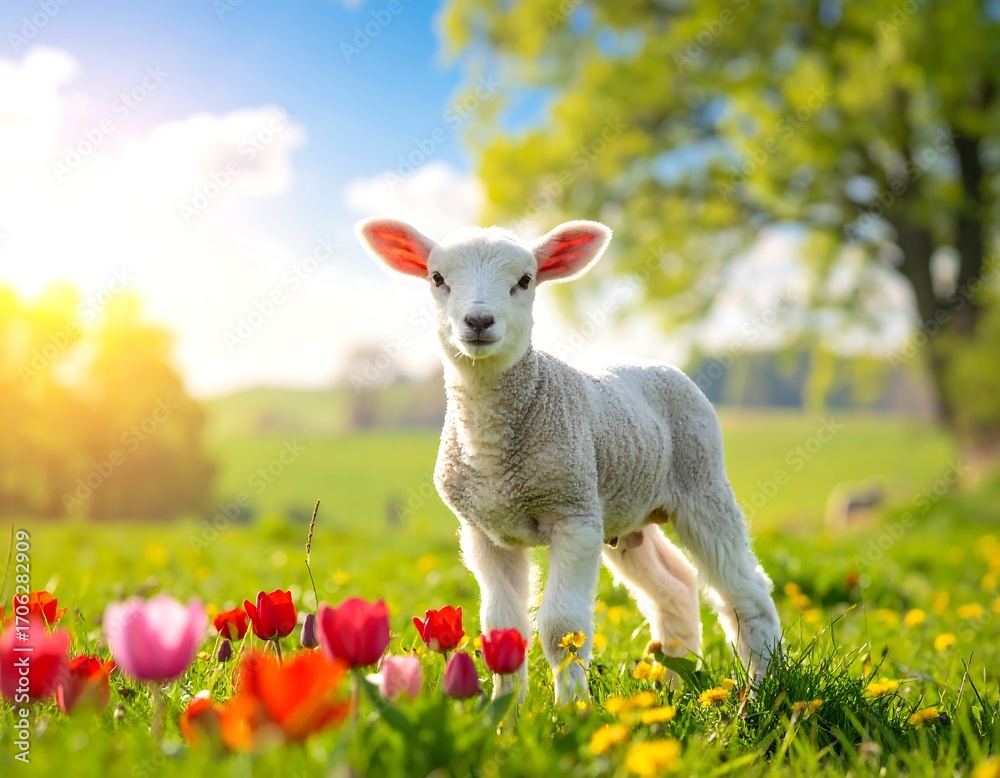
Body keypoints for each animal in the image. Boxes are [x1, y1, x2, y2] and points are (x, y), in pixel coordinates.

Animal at [356, 217, 782, 704]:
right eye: (437, 278)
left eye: (525, 280)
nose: (479, 321)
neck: (494, 453)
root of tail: (658, 364)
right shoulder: (484, 531)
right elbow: (502, 629)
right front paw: (506, 710)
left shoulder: (574, 516)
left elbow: (562, 628)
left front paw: (572, 710)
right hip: (624, 513)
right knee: (675, 586)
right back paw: (673, 686)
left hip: (701, 481)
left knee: (745, 590)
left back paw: (764, 685)